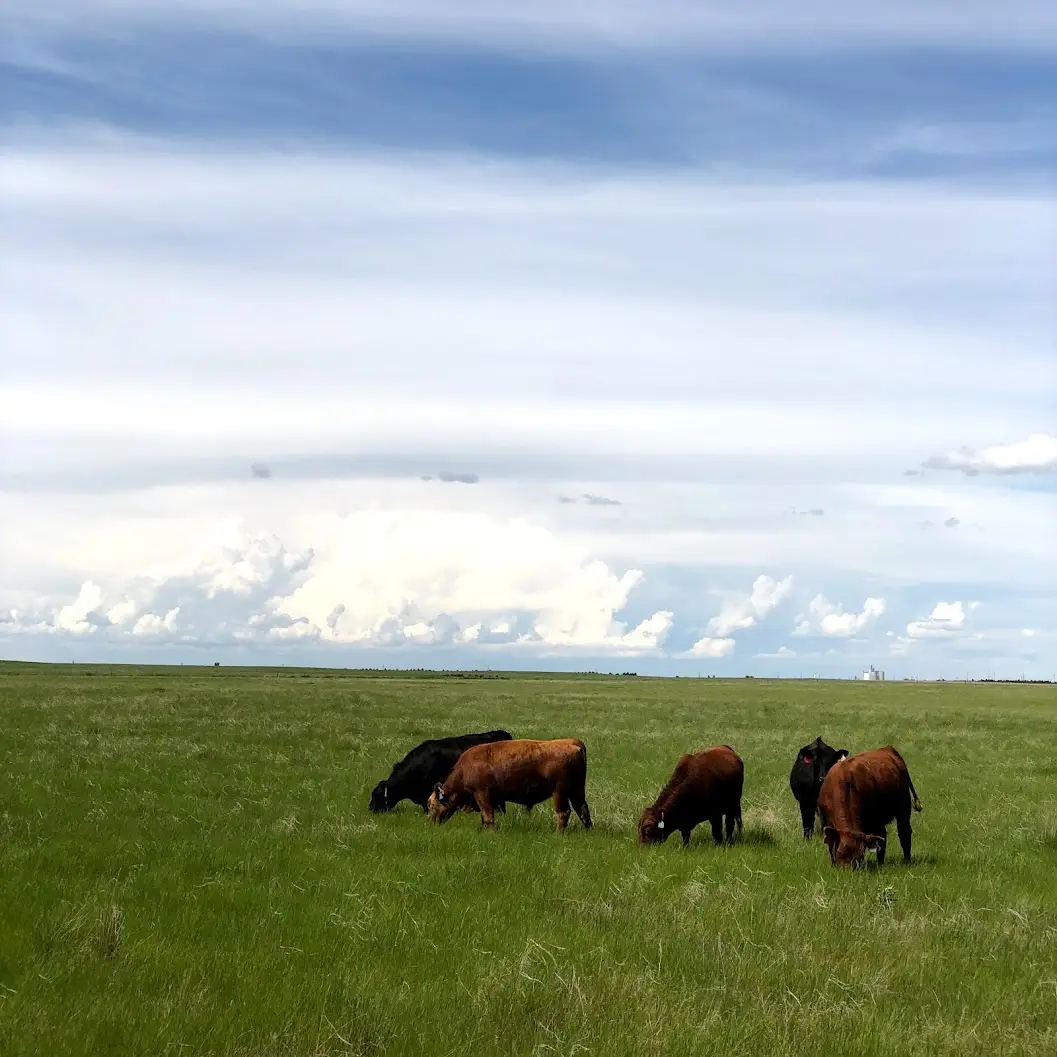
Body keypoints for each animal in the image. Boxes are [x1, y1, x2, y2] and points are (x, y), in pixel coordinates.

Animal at [427, 738, 592, 832]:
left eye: (432, 805)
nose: (429, 823)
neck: (464, 769)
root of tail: (573, 744)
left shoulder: (482, 794)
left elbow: (488, 816)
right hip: (577, 791)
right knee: (582, 809)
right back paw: (588, 832)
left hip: (559, 792)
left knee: (563, 812)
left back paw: (558, 834)